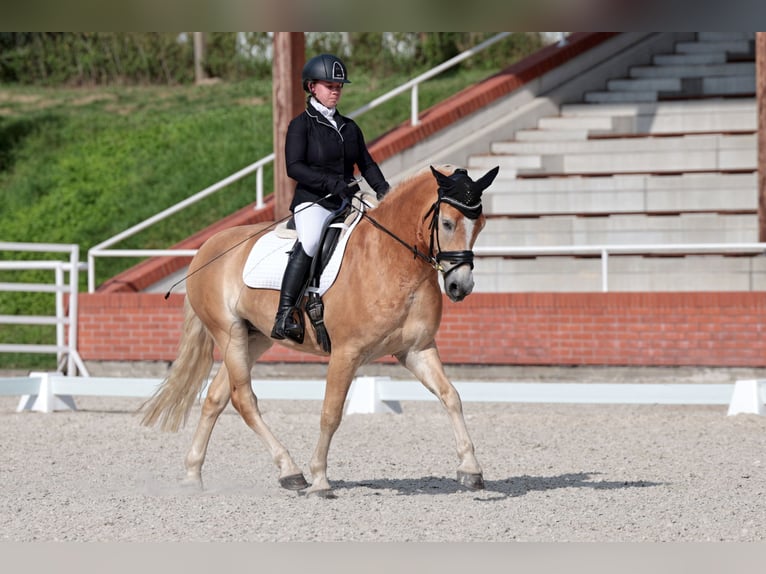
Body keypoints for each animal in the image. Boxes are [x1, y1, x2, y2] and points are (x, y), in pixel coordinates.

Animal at [142, 163, 504, 500]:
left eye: (481, 225)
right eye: (447, 223)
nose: (460, 287)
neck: (393, 260)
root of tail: (206, 248)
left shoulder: (416, 349)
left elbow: (451, 396)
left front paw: (470, 470)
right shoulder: (346, 353)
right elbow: (330, 414)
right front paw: (319, 480)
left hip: (254, 338)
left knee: (217, 398)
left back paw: (194, 475)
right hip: (228, 334)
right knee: (243, 398)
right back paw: (291, 471)